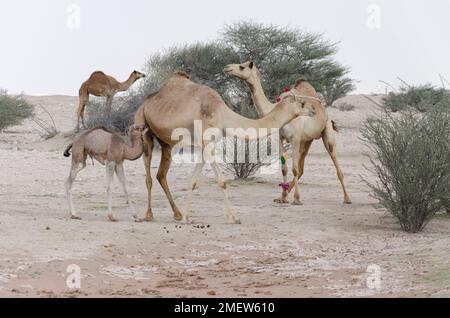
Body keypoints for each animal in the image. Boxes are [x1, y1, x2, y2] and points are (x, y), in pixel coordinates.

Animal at [134, 71, 316, 224]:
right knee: (149, 176)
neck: (222, 114)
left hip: (166, 143)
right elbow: (221, 181)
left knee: (161, 174)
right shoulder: (207, 142)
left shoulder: (206, 144)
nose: (313, 110)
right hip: (142, 127)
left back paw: (177, 214)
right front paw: (232, 218)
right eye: (302, 103)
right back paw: (148, 215)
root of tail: (144, 103)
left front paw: (187, 217)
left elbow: (194, 180)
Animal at [224, 60, 352, 205]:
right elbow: (284, 168)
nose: (227, 68)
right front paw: (283, 198)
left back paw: (347, 198)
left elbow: (294, 169)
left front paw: (296, 199)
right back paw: (284, 194)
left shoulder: (295, 138)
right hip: (307, 140)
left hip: (326, 133)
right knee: (301, 168)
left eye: (242, 67)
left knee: (335, 164)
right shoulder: (281, 137)